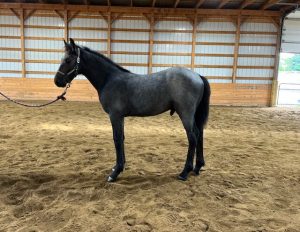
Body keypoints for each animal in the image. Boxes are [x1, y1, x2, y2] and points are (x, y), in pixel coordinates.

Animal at [54, 39, 211, 182]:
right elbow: (122, 138)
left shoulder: (115, 116)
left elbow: (117, 139)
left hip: (185, 114)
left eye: (68, 60)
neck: (109, 79)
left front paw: (115, 173)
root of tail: (197, 76)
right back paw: (197, 167)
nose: (57, 81)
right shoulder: (120, 117)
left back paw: (184, 172)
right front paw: (119, 167)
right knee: (200, 134)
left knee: (193, 137)